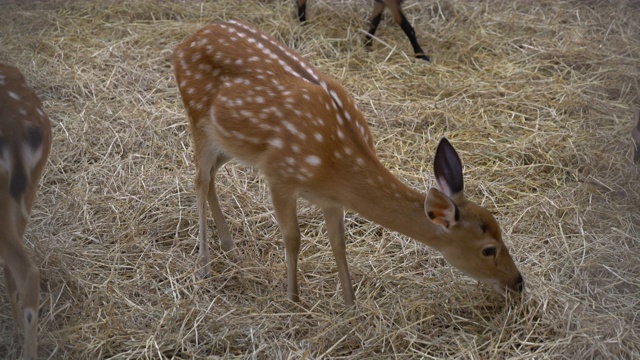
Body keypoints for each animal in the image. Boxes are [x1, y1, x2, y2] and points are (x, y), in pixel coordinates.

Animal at [172, 21, 524, 306]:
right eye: (488, 249)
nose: (518, 283)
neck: (335, 166)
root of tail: (184, 42)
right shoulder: (279, 174)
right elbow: (293, 238)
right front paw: (293, 299)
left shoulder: (330, 199)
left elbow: (339, 244)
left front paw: (350, 302)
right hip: (197, 117)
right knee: (199, 180)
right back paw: (204, 266)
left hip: (228, 142)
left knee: (211, 177)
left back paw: (230, 246)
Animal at [298, 0, 430, 61]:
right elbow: (407, 27)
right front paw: (421, 55)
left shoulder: (382, 2)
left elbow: (375, 21)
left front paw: (367, 43)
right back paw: (302, 23)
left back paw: (303, 22)